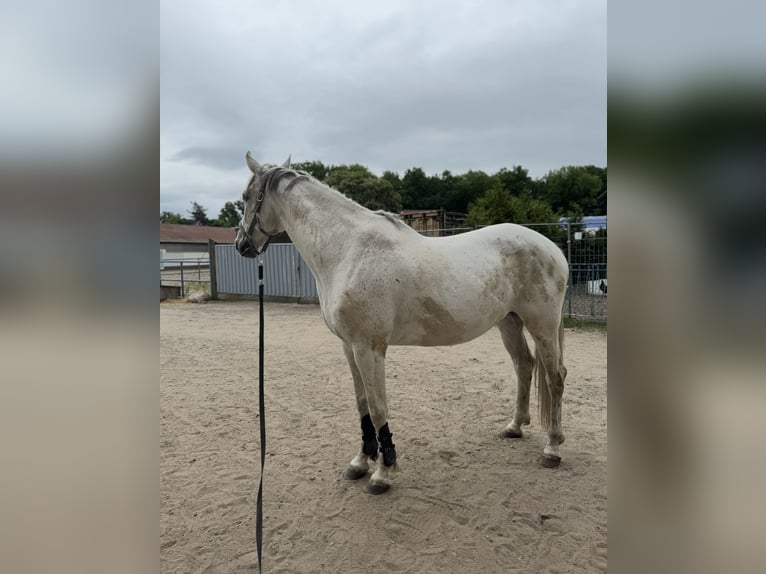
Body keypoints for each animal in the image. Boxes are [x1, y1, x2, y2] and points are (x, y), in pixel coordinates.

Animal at [235, 153, 569, 495]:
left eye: (246, 197)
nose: (241, 245)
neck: (348, 251)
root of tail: (552, 248)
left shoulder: (369, 349)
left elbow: (378, 406)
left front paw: (383, 472)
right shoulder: (349, 347)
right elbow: (362, 403)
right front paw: (360, 462)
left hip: (542, 325)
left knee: (555, 377)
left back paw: (552, 449)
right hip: (509, 322)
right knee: (524, 365)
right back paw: (514, 427)